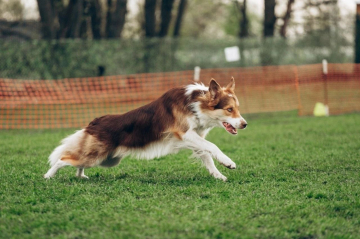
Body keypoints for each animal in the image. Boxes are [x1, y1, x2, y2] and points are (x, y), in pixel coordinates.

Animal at [44, 78, 248, 181]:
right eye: (229, 109)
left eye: (237, 108)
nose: (245, 124)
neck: (196, 105)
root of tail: (93, 123)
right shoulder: (184, 134)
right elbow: (212, 146)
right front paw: (228, 162)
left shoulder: (195, 137)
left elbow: (207, 156)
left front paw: (218, 175)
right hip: (97, 156)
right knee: (63, 159)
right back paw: (48, 176)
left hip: (106, 160)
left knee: (78, 164)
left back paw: (81, 177)